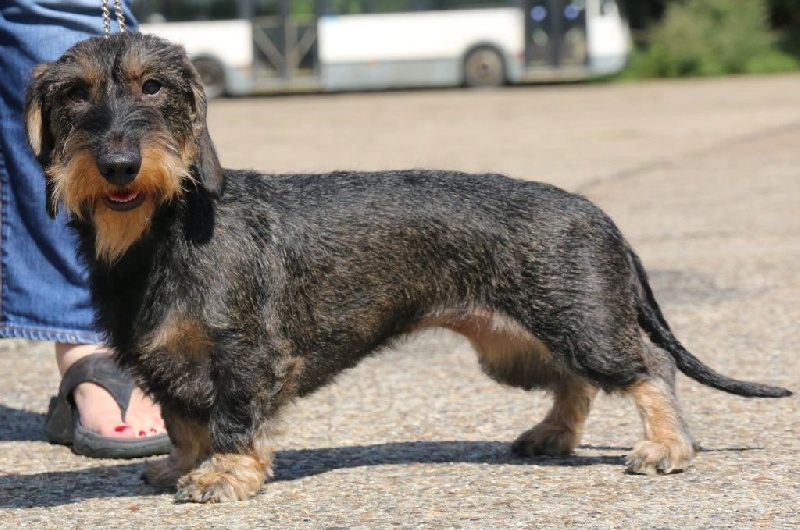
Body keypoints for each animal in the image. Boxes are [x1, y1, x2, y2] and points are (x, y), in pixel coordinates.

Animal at [25, 33, 791, 503]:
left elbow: (234, 420)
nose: (119, 163)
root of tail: (597, 213)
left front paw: (226, 475)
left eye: (154, 87)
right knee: (576, 383)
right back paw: (552, 435)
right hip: (516, 348)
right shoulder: (161, 360)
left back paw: (666, 447)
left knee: (645, 371)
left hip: (583, 324)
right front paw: (182, 465)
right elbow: (185, 421)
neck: (161, 230)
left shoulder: (245, 355)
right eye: (74, 95)